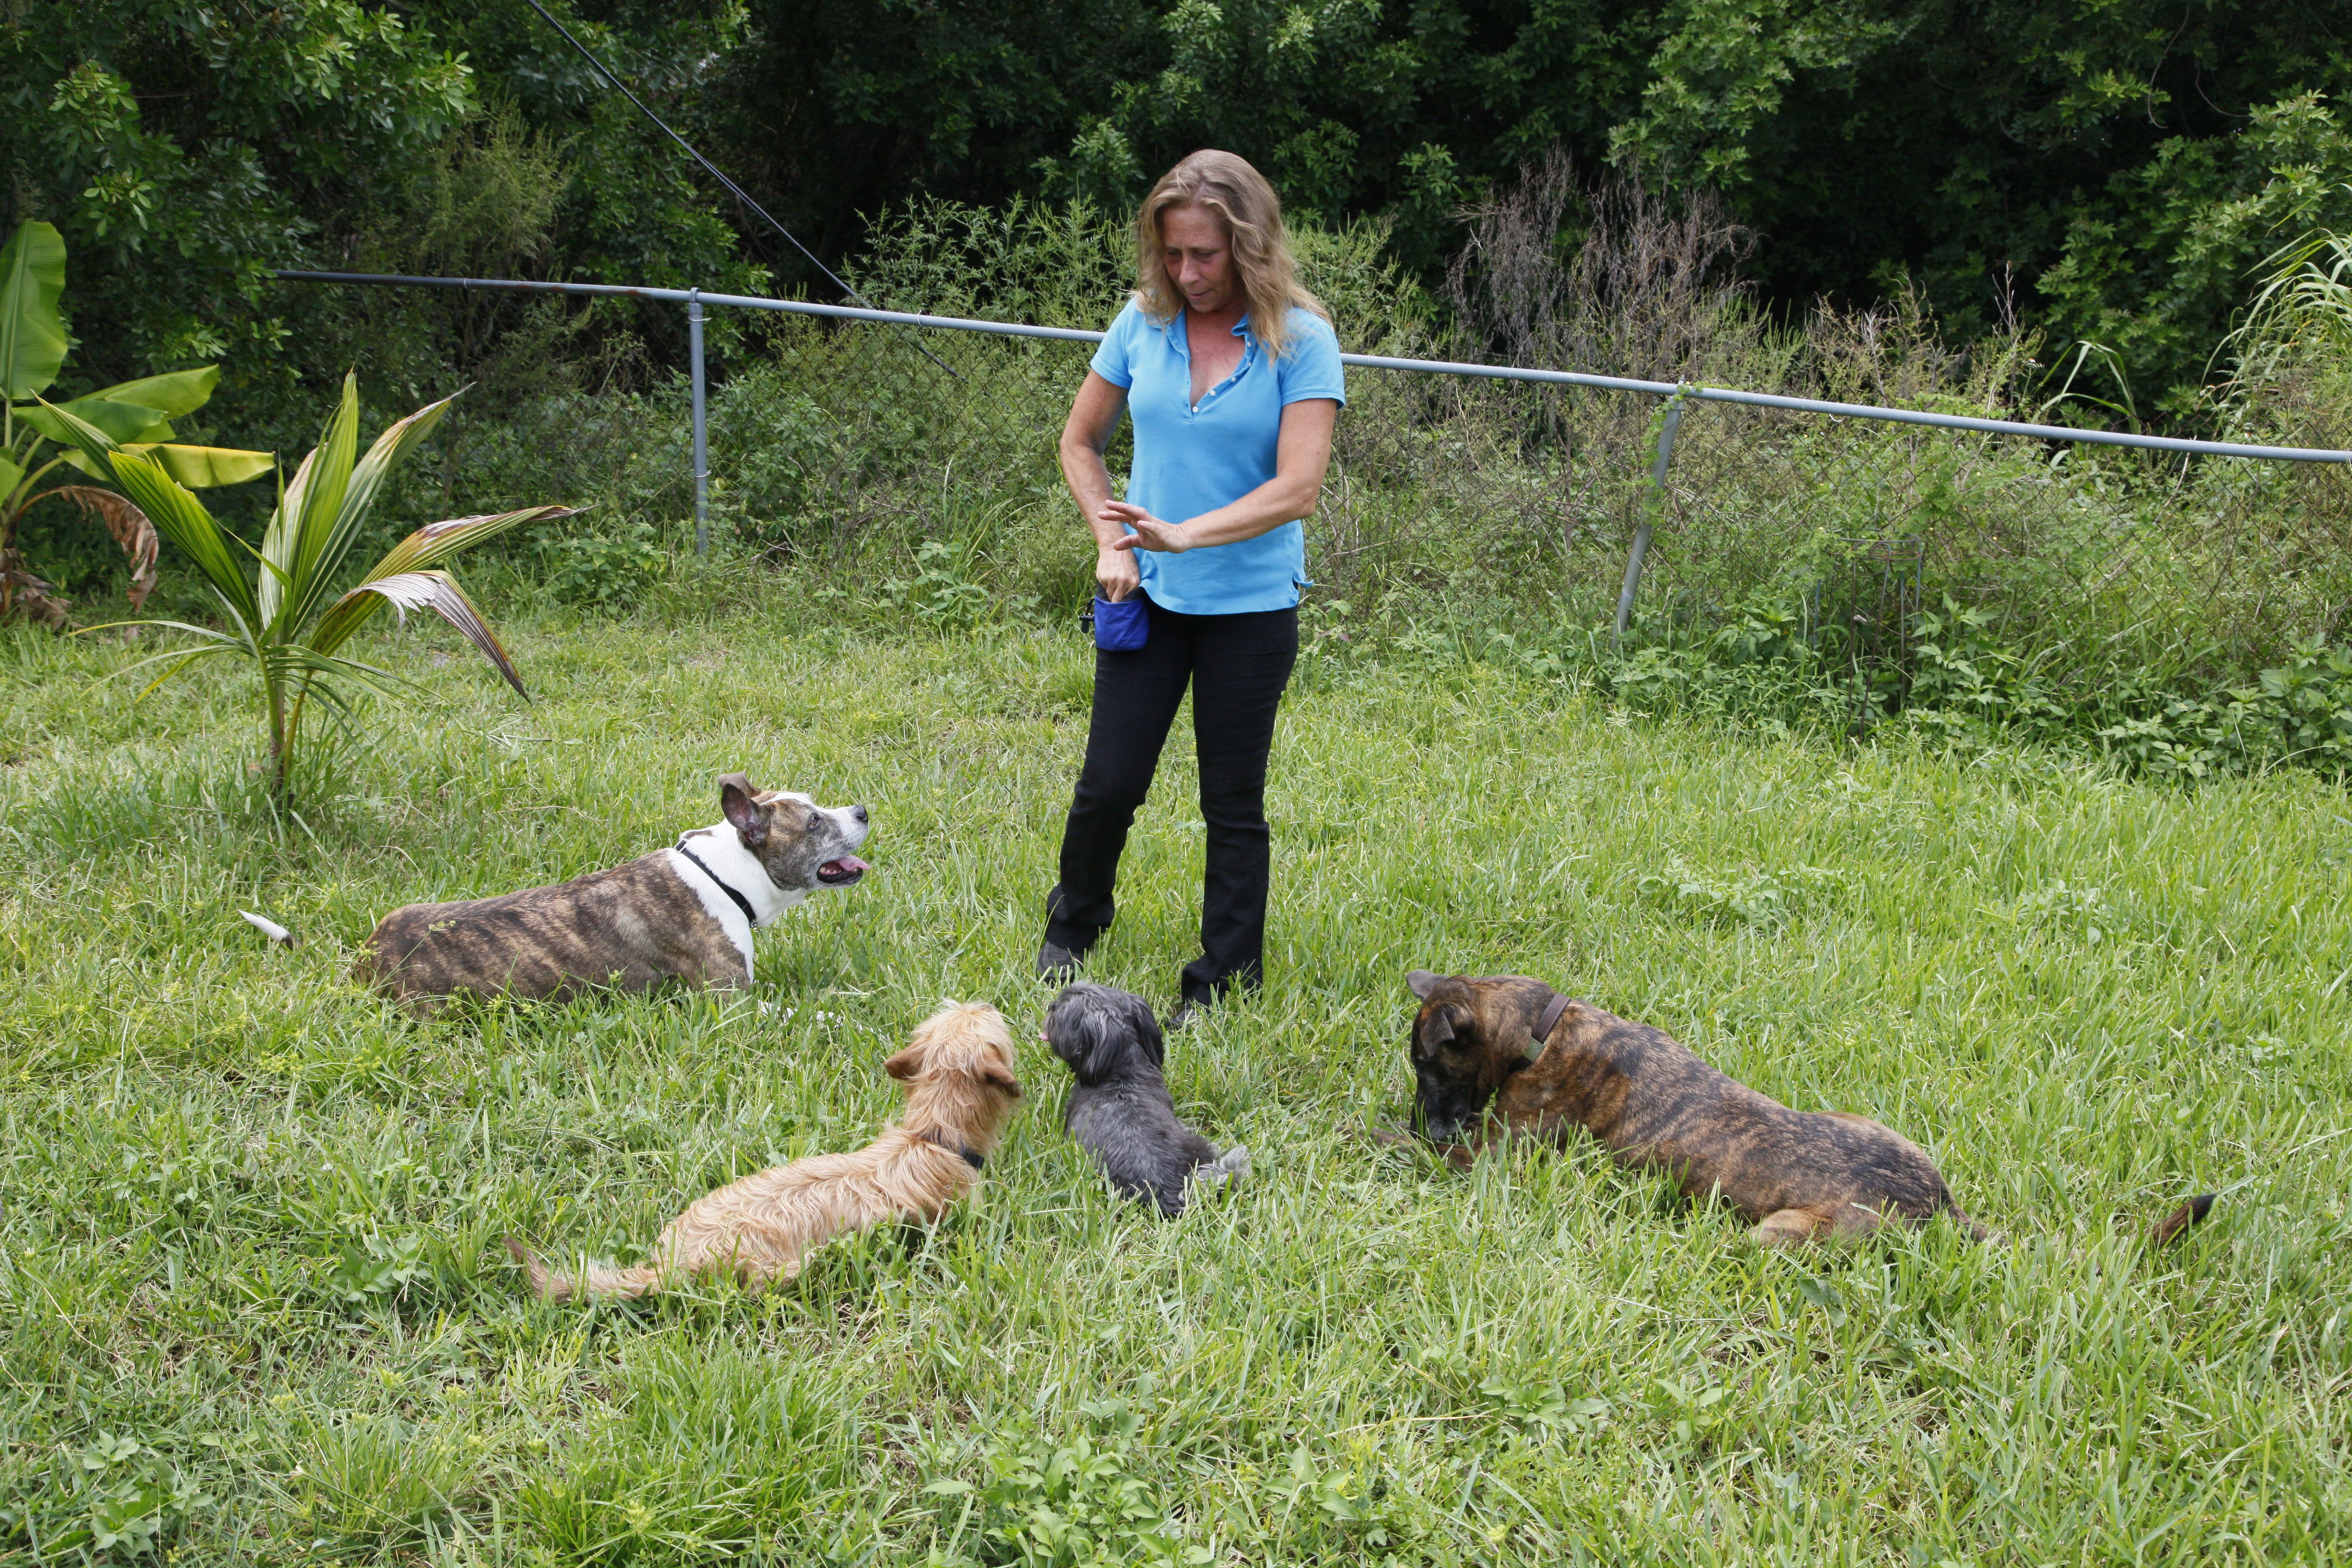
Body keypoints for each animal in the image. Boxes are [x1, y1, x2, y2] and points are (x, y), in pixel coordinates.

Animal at [348, 776, 865, 1020]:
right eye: (814, 822)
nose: (862, 810)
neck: (722, 874)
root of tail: (365, 960)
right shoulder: (732, 1002)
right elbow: (818, 1015)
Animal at [1402, 968, 2211, 1251]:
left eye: (1425, 1064)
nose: (1422, 1121)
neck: (1543, 1026)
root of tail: (1939, 1204)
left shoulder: (1487, 1156)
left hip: (1783, 1230)